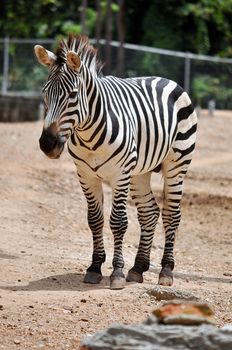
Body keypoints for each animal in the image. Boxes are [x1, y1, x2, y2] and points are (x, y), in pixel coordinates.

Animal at [35, 34, 198, 290]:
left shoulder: (120, 174)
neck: (88, 135)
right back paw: (138, 268)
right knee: (149, 212)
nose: (47, 144)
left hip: (176, 165)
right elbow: (95, 219)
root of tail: (166, 79)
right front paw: (95, 268)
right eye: (45, 92)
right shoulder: (85, 175)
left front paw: (117, 272)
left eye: (72, 95)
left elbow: (119, 221)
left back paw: (166, 271)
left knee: (172, 214)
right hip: (140, 172)